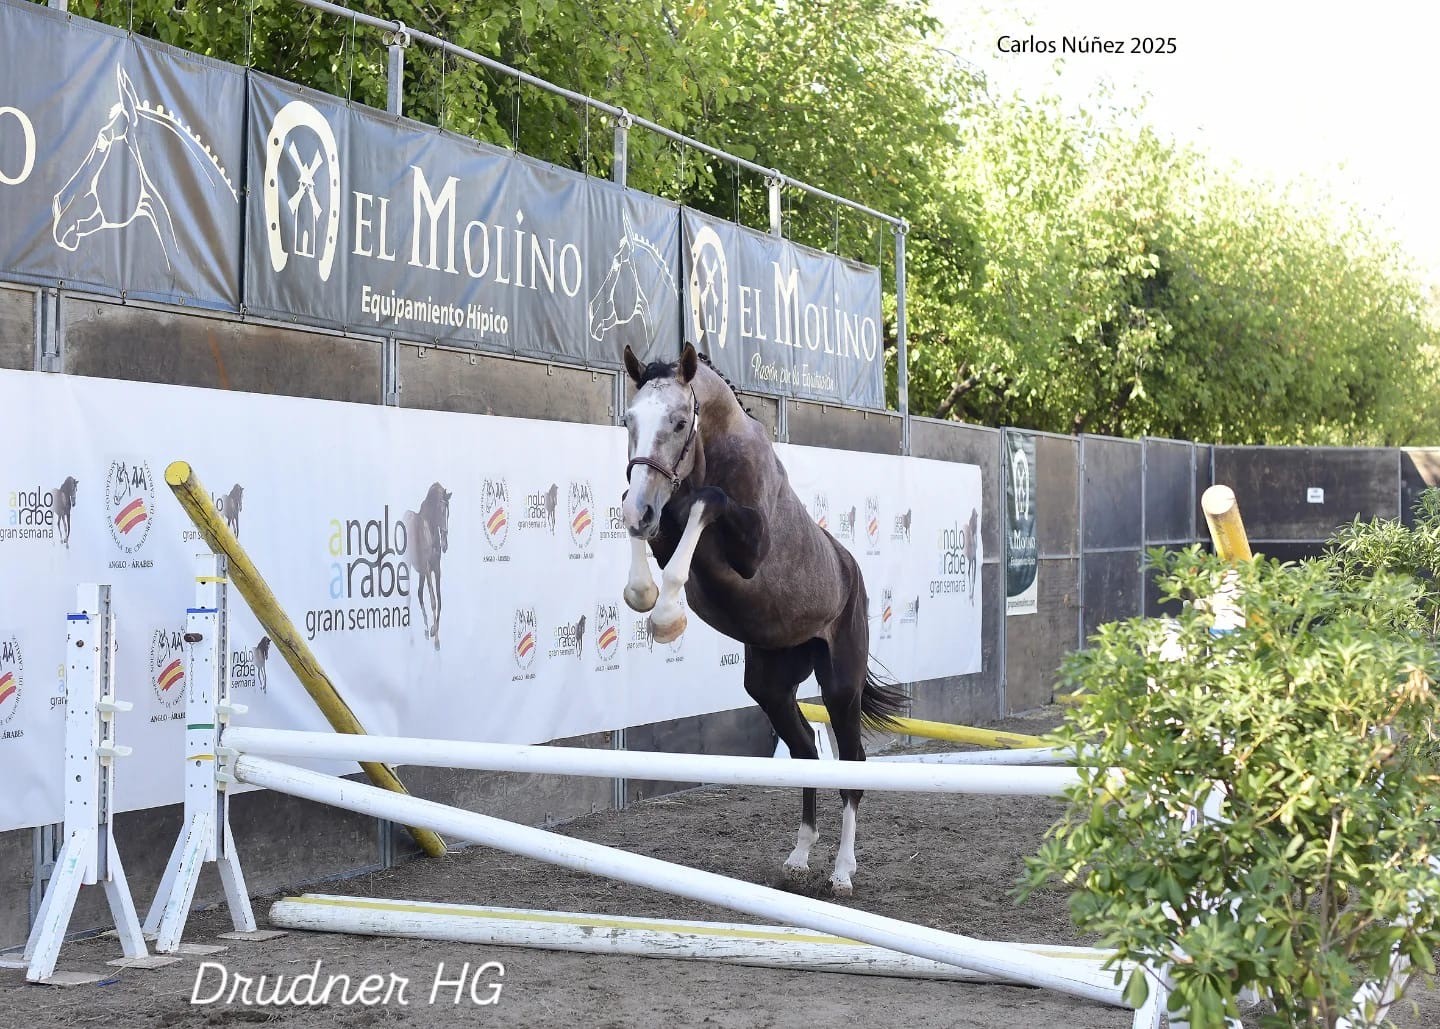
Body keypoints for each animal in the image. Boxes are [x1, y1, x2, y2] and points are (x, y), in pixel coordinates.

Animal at [404, 483, 451, 651]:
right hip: (408, 565)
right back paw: (411, 638)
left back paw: (425, 629)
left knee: (418, 593)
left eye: (448, 513)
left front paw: (433, 629)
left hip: (421, 572)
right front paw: (436, 641)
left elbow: (440, 599)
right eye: (440, 510)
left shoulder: (436, 569)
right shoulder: (427, 568)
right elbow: (433, 601)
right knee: (409, 596)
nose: (445, 545)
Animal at [620, 342, 905, 896]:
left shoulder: (748, 548)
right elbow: (653, 543)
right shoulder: (660, 529)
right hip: (771, 685)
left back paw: (842, 870)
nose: (639, 507)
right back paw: (799, 856)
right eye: (628, 420)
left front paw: (667, 617)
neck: (712, 450)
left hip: (841, 685)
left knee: (852, 765)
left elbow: (707, 502)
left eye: (680, 421)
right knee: (807, 753)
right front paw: (645, 593)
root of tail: (851, 569)